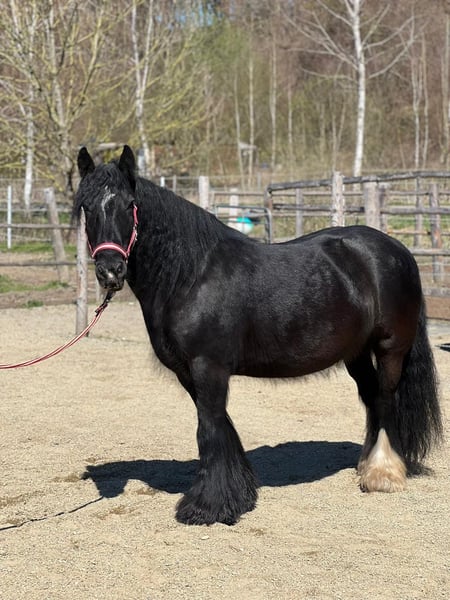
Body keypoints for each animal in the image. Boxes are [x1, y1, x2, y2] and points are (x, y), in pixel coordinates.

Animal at [73, 145, 443, 526]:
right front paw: (236, 492)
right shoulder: (189, 372)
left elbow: (209, 428)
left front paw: (207, 506)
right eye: (86, 206)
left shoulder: (208, 366)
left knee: (384, 399)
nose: (110, 271)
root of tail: (398, 251)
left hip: (390, 348)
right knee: (371, 398)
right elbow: (221, 427)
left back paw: (382, 473)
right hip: (355, 353)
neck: (191, 276)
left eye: (129, 204)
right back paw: (365, 466)